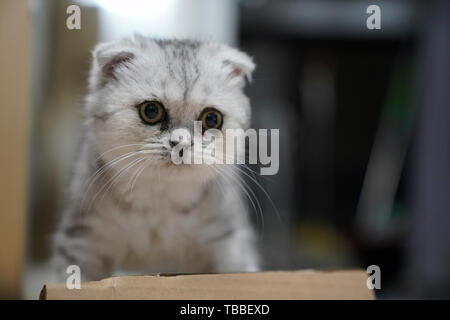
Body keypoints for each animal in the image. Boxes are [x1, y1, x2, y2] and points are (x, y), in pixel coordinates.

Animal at [50, 33, 260, 282]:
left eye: (211, 118)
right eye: (151, 111)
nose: (181, 142)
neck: (161, 197)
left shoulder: (230, 242)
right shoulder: (81, 240)